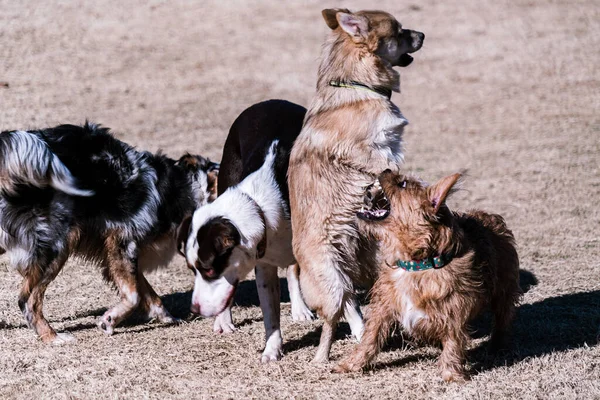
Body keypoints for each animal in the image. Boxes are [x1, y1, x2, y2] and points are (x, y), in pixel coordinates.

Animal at [0, 122, 218, 344]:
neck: (186, 191)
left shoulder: (123, 252)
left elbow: (146, 291)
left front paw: (166, 316)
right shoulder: (122, 241)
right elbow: (133, 295)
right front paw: (109, 320)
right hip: (58, 245)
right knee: (27, 299)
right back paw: (52, 337)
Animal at [178, 101, 314, 362]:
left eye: (209, 269)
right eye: (192, 269)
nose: (194, 309)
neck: (260, 205)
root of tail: (271, 102)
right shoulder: (263, 264)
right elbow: (270, 315)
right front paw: (272, 349)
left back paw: (300, 308)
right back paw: (224, 321)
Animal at [288, 8, 424, 362]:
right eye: (400, 32)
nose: (422, 34)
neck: (357, 84)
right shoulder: (360, 151)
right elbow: (384, 166)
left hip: (370, 262)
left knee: (353, 305)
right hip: (331, 282)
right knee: (331, 319)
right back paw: (323, 358)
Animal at [332, 170, 520, 382]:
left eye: (402, 184)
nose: (386, 170)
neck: (415, 265)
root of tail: (491, 217)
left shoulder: (454, 311)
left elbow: (453, 341)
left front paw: (451, 374)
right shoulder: (384, 305)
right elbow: (371, 336)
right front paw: (351, 364)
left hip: (504, 290)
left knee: (503, 317)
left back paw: (497, 344)